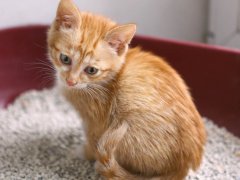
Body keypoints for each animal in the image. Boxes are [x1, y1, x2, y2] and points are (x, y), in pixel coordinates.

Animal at [47, 0, 206, 179]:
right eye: (65, 59)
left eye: (91, 70)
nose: (71, 81)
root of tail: (183, 166)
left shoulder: (97, 122)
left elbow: (93, 143)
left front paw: (81, 153)